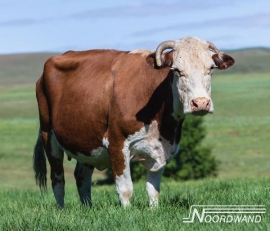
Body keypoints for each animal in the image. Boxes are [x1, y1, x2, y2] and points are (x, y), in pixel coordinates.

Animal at [33, 36, 234, 208]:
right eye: (176, 70)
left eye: (210, 69)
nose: (200, 103)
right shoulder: (116, 142)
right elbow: (125, 188)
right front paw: (127, 213)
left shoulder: (162, 147)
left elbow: (153, 189)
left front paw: (154, 210)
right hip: (48, 135)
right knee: (58, 180)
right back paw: (61, 210)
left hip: (87, 141)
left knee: (82, 176)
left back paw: (87, 208)